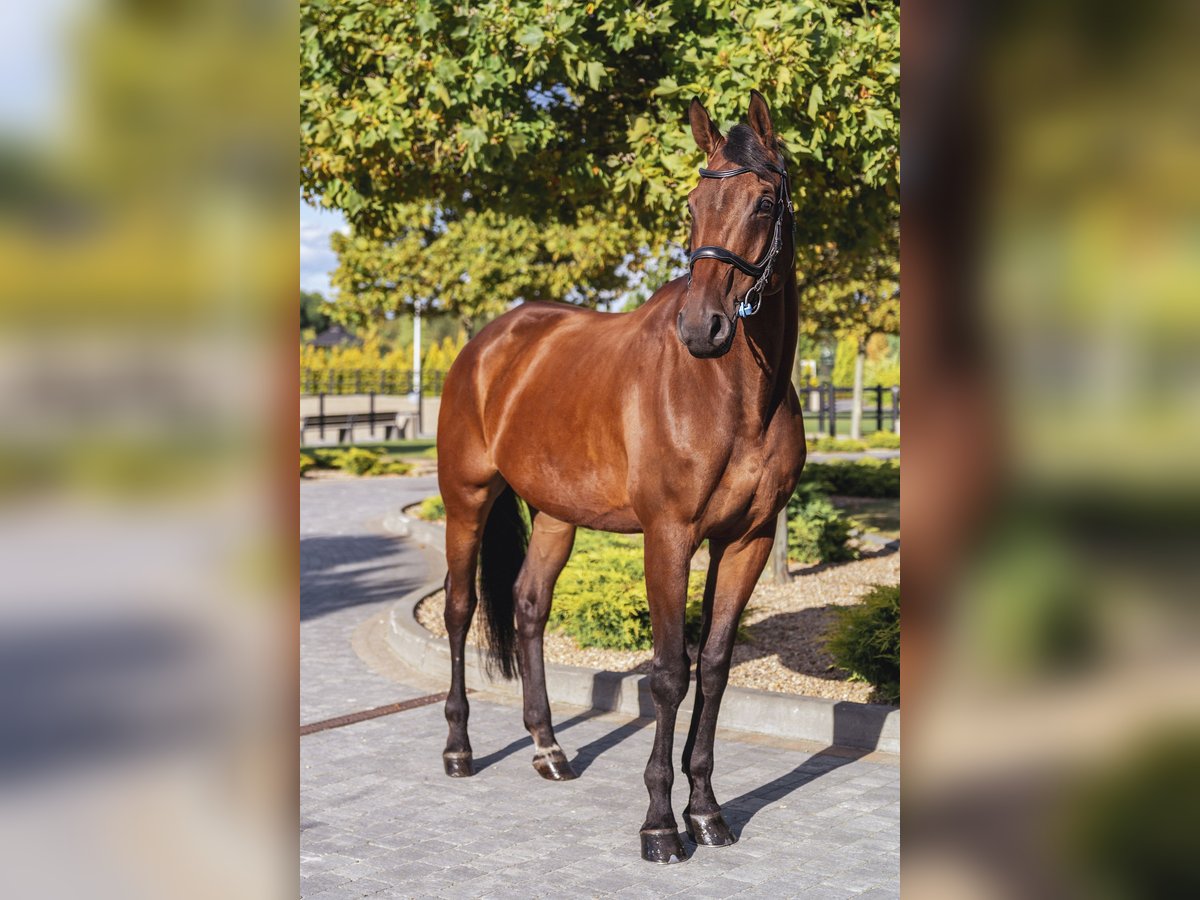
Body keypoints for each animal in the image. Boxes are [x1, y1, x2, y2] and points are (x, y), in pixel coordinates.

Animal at [435, 91, 807, 864]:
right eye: (692, 203)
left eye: (764, 203)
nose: (703, 328)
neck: (735, 398)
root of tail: (490, 342)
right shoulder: (668, 537)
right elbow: (667, 673)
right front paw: (661, 824)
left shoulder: (747, 540)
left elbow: (714, 667)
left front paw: (707, 812)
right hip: (466, 498)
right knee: (459, 608)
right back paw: (458, 749)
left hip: (555, 513)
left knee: (527, 607)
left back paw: (548, 748)